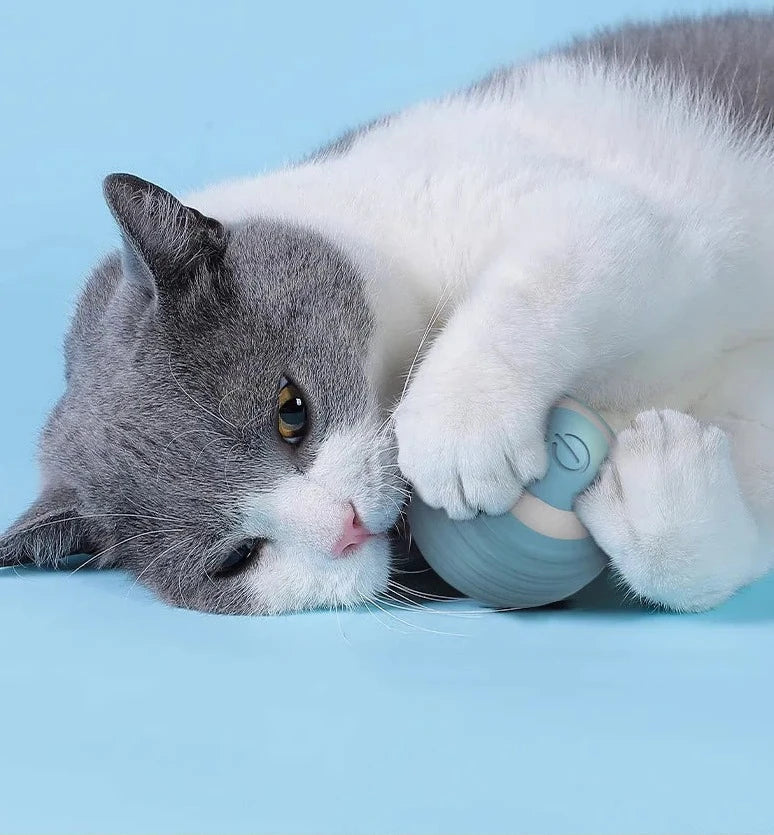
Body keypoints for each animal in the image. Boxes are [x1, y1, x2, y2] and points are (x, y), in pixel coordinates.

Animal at [1, 11, 774, 612]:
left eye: (291, 411)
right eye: (237, 557)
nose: (343, 527)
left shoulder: (592, 210)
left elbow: (546, 276)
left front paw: (459, 431)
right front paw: (661, 474)